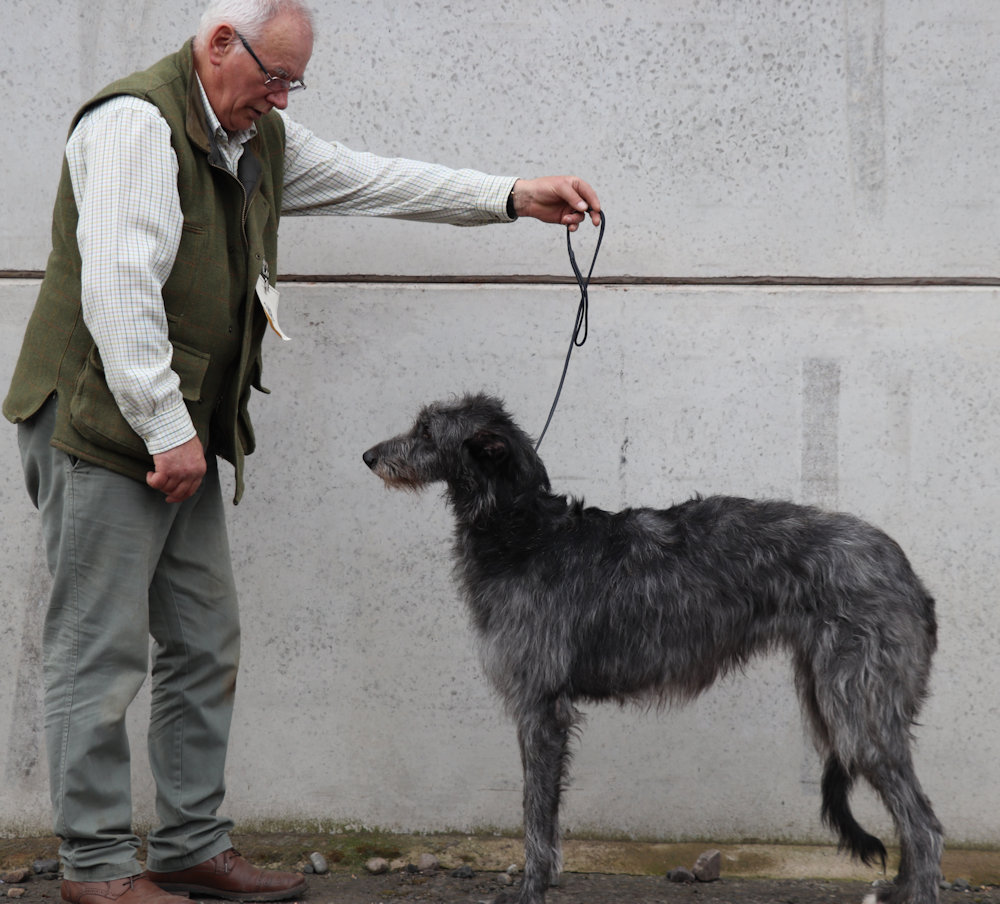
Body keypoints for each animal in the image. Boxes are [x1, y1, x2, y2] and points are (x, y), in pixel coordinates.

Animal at [364, 394, 940, 904]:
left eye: (425, 431)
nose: (368, 456)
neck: (525, 535)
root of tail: (906, 570)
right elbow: (546, 817)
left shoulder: (540, 707)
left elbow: (534, 813)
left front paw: (530, 892)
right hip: (831, 697)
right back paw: (897, 890)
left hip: (856, 708)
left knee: (925, 825)